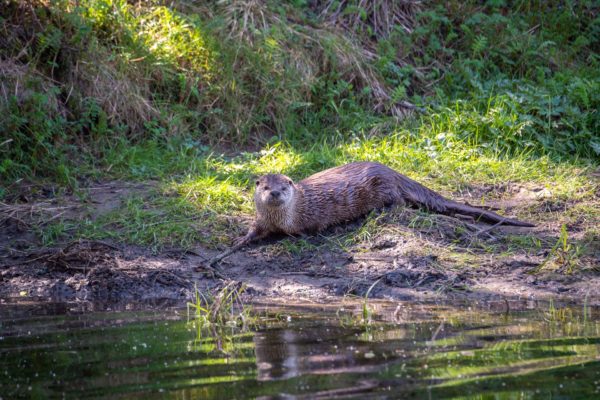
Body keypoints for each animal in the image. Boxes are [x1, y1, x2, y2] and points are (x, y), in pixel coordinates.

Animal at [234, 161, 536, 245]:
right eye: (265, 186)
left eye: (285, 186)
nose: (275, 193)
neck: (284, 219)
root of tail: (390, 170)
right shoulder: (261, 221)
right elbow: (253, 231)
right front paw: (240, 242)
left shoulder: (310, 215)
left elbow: (309, 230)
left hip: (384, 188)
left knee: (400, 201)